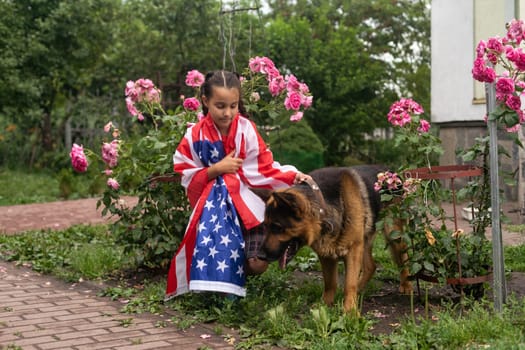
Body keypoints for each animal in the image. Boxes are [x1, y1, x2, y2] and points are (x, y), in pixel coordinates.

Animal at [260, 165, 412, 314]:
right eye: (266, 226)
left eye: (277, 227)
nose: (261, 256)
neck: (323, 207)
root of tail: (391, 172)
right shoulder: (326, 254)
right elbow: (330, 283)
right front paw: (325, 305)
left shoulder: (353, 250)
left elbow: (349, 284)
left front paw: (350, 312)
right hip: (364, 241)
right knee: (371, 266)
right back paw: (360, 289)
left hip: (393, 235)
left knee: (403, 259)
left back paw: (406, 285)